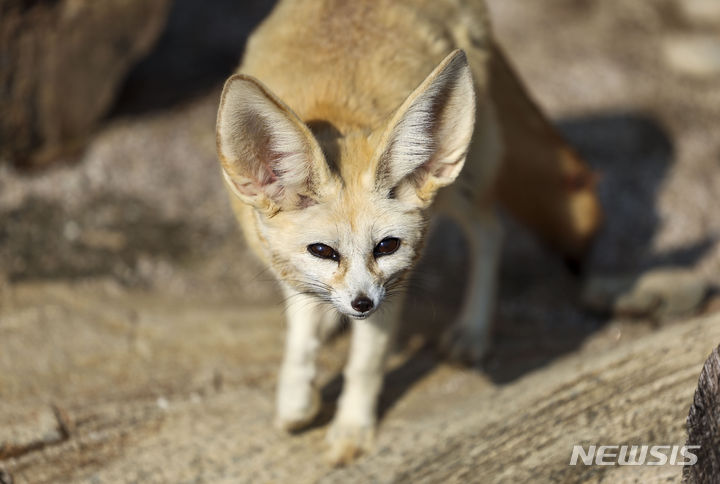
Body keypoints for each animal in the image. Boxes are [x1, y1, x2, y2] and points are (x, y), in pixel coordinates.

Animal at [215, 0, 600, 464]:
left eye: (387, 246)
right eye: (322, 251)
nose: (362, 304)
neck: (338, 112)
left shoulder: (394, 284)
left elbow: (365, 364)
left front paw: (351, 430)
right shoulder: (287, 267)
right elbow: (301, 339)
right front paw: (297, 402)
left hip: (460, 186)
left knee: (490, 233)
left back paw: (472, 330)